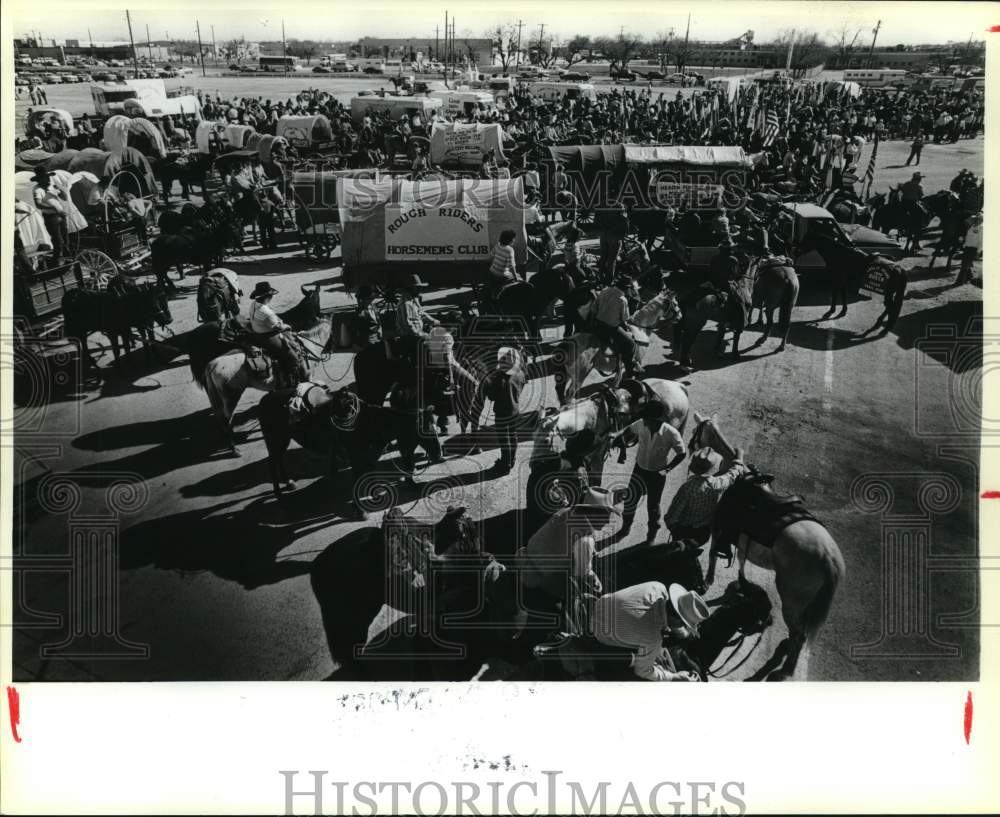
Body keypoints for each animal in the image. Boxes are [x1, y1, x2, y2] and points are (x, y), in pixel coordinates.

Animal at [552, 288, 684, 404]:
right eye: (675, 304)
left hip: (568, 375)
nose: (680, 317)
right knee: (569, 396)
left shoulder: (620, 366)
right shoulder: (636, 361)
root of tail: (567, 344)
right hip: (580, 375)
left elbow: (617, 381)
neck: (640, 329)